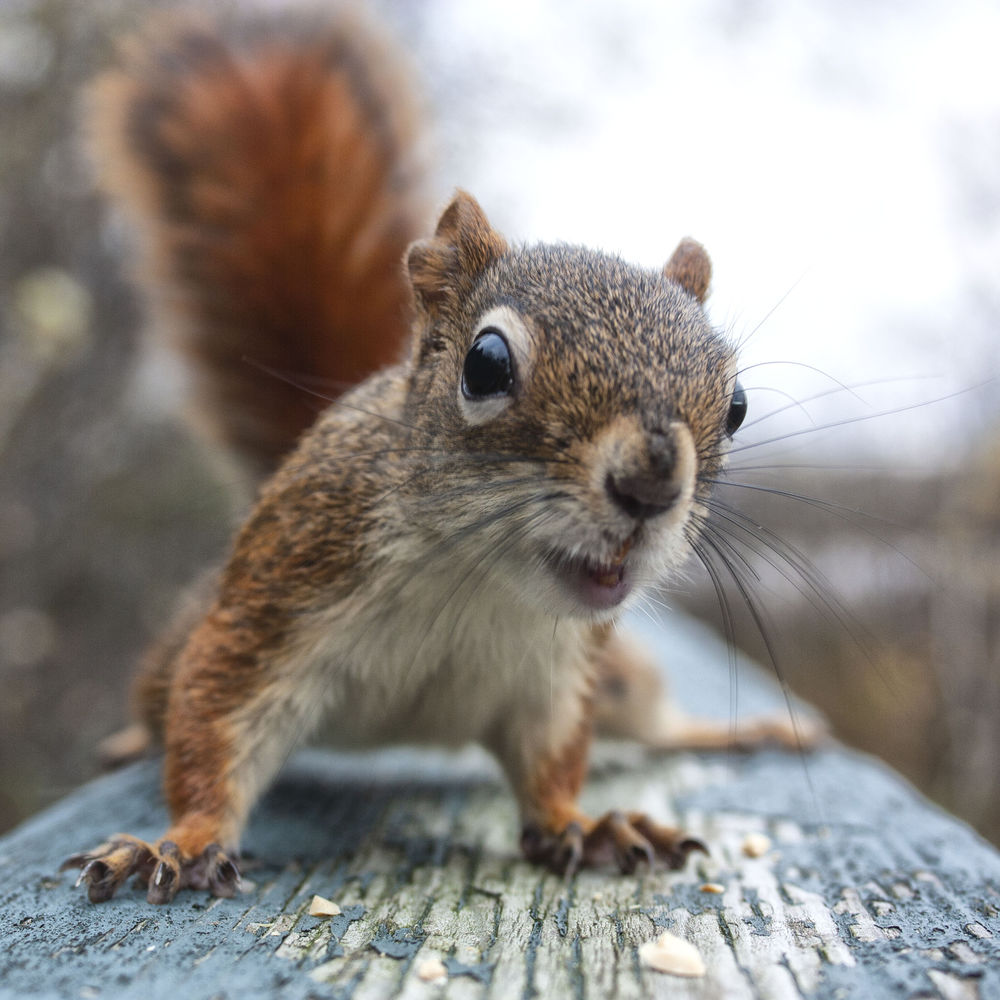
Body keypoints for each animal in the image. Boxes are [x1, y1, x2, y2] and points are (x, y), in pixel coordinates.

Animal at [64, 8, 809, 905]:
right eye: (485, 365)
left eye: (736, 406)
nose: (650, 485)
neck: (474, 576)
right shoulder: (271, 604)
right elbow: (213, 722)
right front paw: (180, 840)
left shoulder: (561, 676)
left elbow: (556, 765)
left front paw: (584, 825)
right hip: (194, 625)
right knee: (164, 698)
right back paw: (128, 739)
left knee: (648, 719)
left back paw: (721, 733)